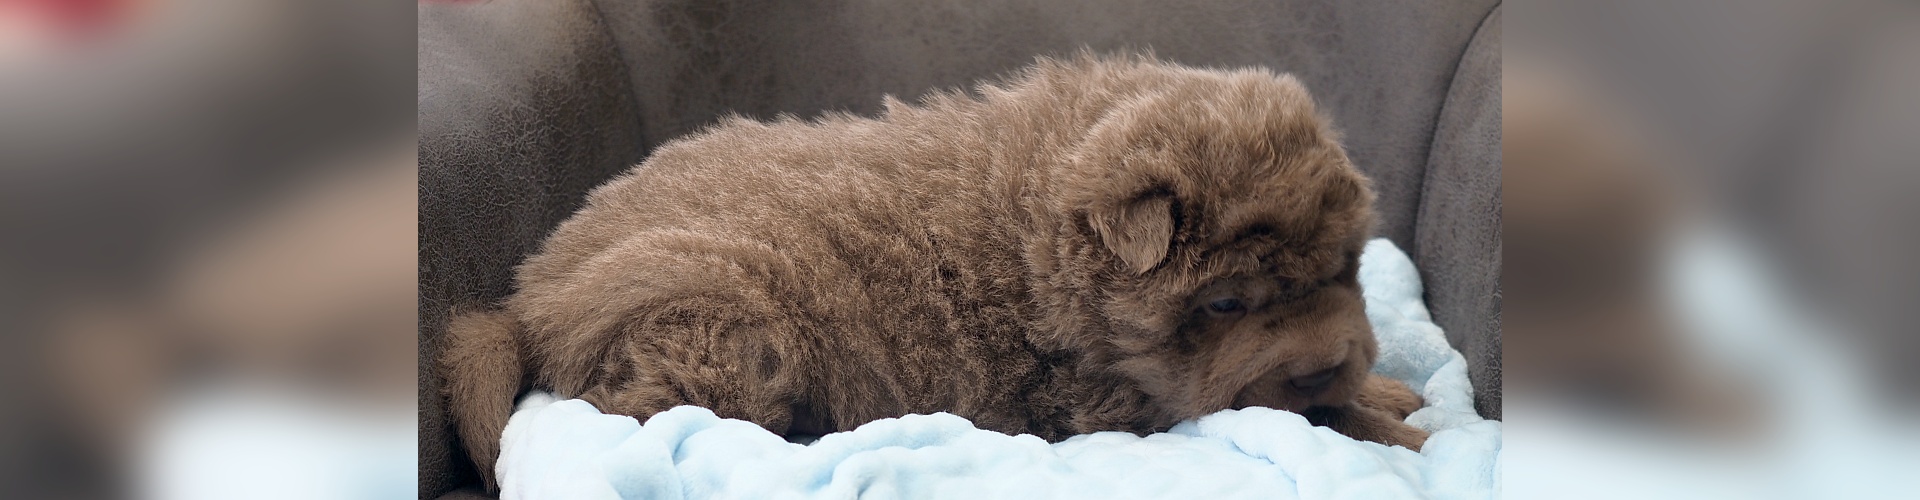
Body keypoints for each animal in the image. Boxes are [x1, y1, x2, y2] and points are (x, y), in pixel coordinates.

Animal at [439, 53, 1428, 488]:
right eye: (1225, 301)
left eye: (1348, 267)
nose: (1328, 357)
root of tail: (528, 299)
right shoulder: (1108, 398)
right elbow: (1302, 411)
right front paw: (1393, 425)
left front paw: (1384, 390)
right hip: (725, 324)